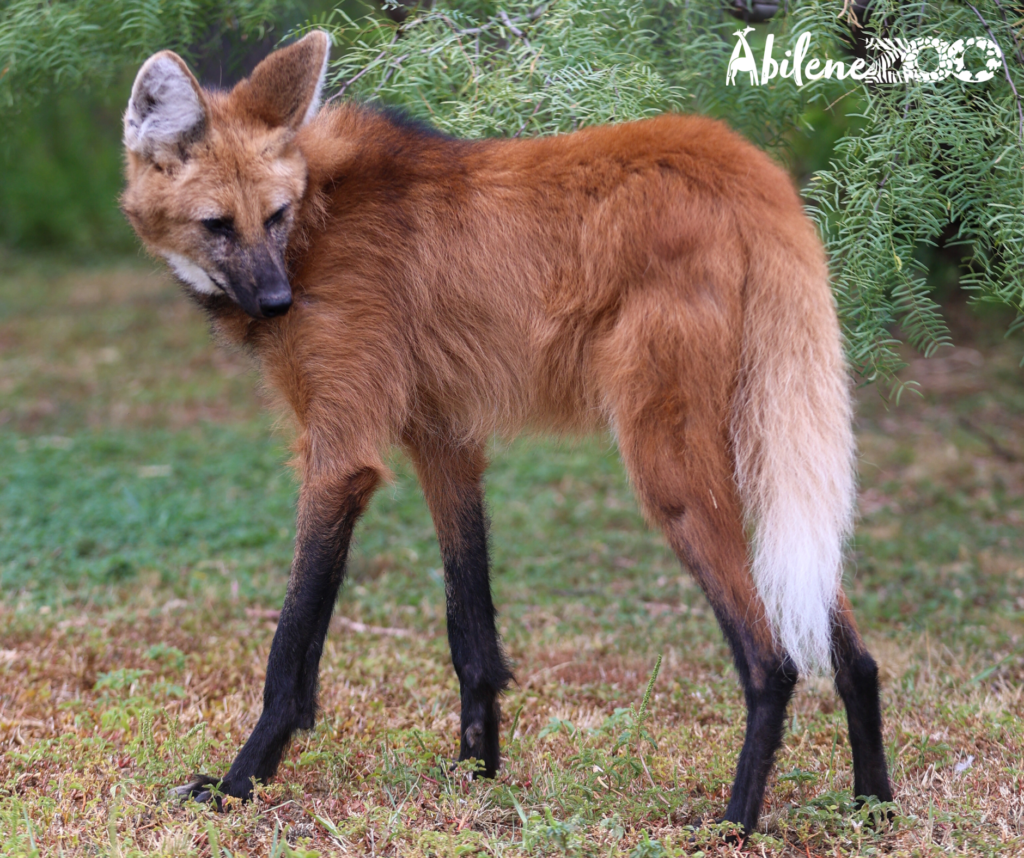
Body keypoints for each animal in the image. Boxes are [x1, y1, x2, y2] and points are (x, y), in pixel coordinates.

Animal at [121, 31, 893, 834]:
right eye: (218, 225)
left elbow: (290, 650)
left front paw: (239, 783)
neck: (318, 220)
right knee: (848, 646)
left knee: (774, 661)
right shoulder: (444, 440)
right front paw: (475, 773)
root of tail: (745, 166)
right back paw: (874, 804)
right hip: (766, 450)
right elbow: (470, 628)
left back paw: (735, 823)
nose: (277, 301)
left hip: (670, 466)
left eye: (272, 216)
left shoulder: (342, 456)